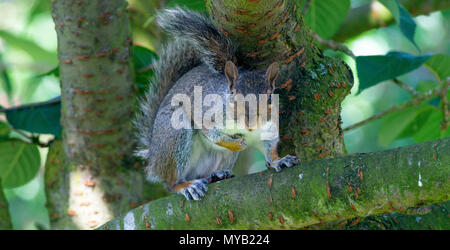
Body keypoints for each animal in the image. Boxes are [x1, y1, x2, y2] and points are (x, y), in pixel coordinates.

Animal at [134, 7, 298, 201]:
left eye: (270, 98)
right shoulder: (207, 114)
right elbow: (212, 134)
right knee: (171, 183)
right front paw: (236, 143)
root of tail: (153, 157)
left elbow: (270, 147)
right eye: (233, 95)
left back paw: (215, 175)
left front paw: (280, 160)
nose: (250, 124)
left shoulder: (268, 127)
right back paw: (186, 185)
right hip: (174, 132)